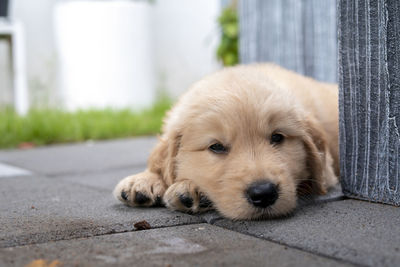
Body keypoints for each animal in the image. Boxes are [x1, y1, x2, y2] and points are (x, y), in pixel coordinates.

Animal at [114, 64, 340, 220]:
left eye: (277, 137)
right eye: (216, 147)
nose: (264, 193)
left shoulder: (328, 172)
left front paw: (192, 189)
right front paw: (144, 180)